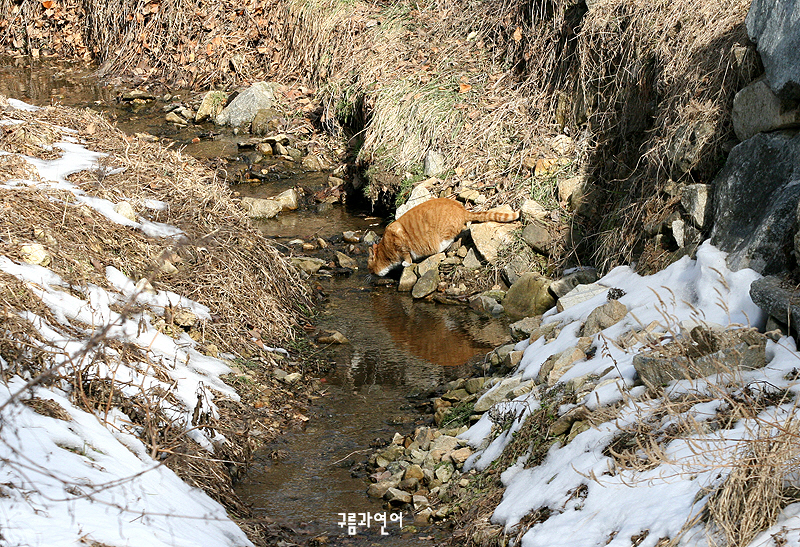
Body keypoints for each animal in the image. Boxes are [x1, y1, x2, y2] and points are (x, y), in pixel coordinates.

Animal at [368, 198, 520, 278]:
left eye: (369, 268)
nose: (369, 274)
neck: (385, 248)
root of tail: (462, 209)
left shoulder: (401, 244)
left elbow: (407, 257)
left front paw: (406, 263)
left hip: (442, 233)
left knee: (448, 240)